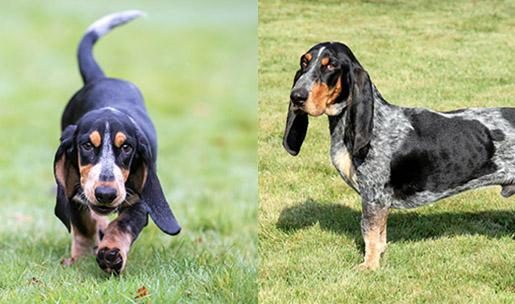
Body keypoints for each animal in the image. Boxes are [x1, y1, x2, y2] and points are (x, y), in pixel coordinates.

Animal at [54, 10, 181, 274]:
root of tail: (101, 78)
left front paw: (111, 252)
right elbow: (83, 226)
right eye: (87, 145)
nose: (105, 194)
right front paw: (81, 257)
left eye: (126, 148)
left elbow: (122, 225)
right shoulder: (73, 189)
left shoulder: (141, 201)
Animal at [286, 41, 515, 270]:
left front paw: (369, 266)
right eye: (304, 62)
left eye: (330, 66)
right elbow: (379, 235)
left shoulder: (374, 196)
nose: (296, 96)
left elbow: (369, 231)